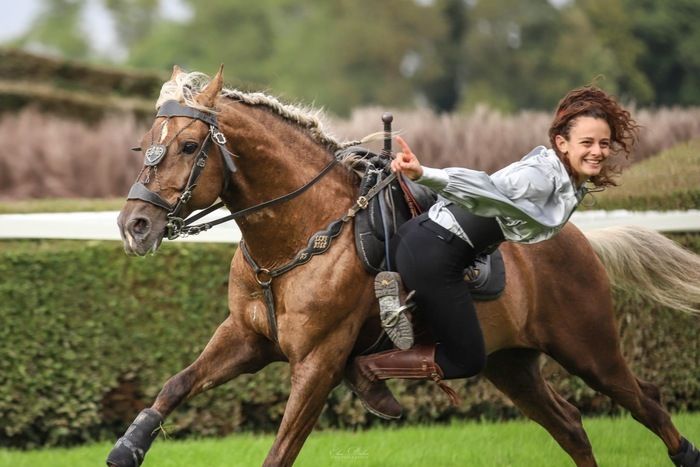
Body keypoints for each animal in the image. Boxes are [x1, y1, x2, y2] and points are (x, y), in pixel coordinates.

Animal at [108, 66, 700, 467]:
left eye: (189, 145)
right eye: (145, 144)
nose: (134, 224)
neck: (301, 236)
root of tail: (581, 241)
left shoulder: (318, 363)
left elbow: (280, 450)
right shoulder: (245, 339)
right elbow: (175, 386)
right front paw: (127, 447)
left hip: (589, 350)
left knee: (646, 403)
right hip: (510, 364)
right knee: (572, 426)